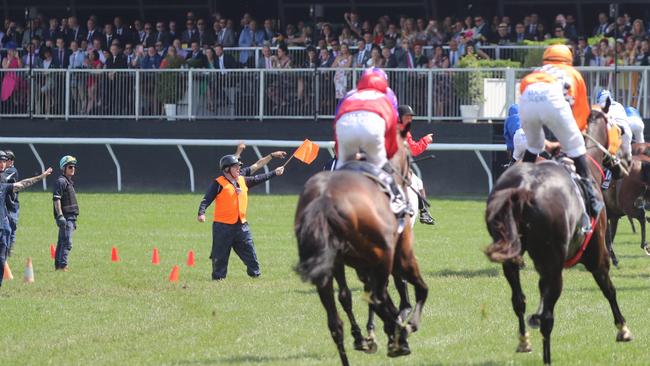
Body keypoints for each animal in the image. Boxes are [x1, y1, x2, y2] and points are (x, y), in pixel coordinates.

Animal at [292, 136, 426, 364]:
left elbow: (348, 296)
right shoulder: (389, 255)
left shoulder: (347, 261)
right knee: (379, 295)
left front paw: (371, 335)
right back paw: (397, 331)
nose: (408, 179)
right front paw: (391, 330)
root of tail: (324, 199)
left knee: (336, 322)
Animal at [484, 110, 632, 364]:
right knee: (547, 317)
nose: (626, 165)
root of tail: (524, 188)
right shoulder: (597, 256)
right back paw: (547, 357)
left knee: (519, 300)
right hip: (554, 265)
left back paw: (524, 341)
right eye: (620, 131)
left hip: (512, 257)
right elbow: (609, 289)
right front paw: (622, 328)